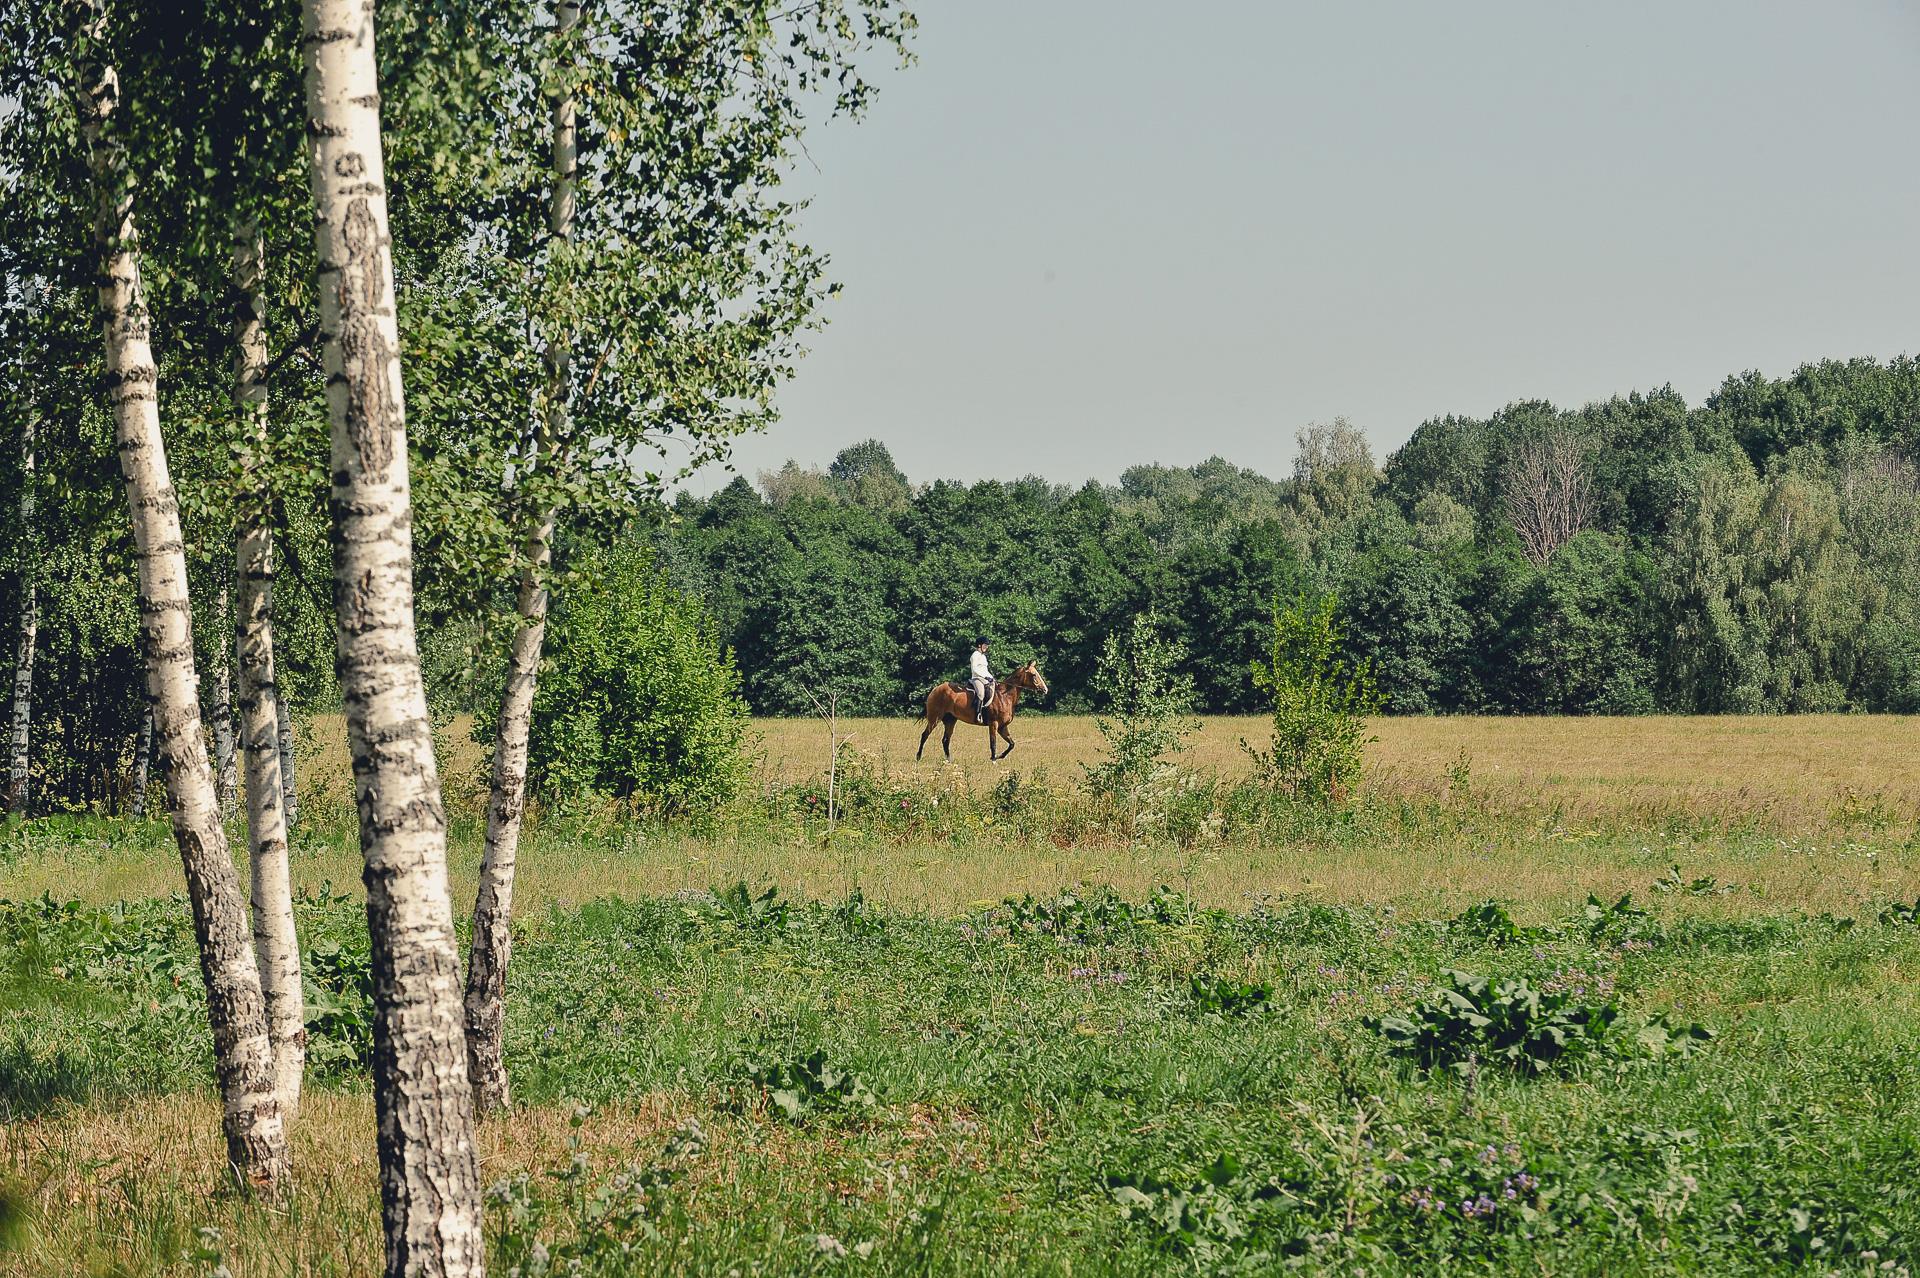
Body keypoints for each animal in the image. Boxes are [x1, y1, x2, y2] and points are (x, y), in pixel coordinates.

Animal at [913, 656, 1052, 756]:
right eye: (1033, 675)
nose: (1045, 690)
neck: (1005, 697)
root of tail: (935, 689)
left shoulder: (1002, 727)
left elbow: (1012, 744)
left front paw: (1001, 756)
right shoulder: (994, 724)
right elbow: (993, 744)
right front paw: (994, 761)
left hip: (950, 720)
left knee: (945, 740)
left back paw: (949, 761)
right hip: (934, 718)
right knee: (924, 735)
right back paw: (918, 757)